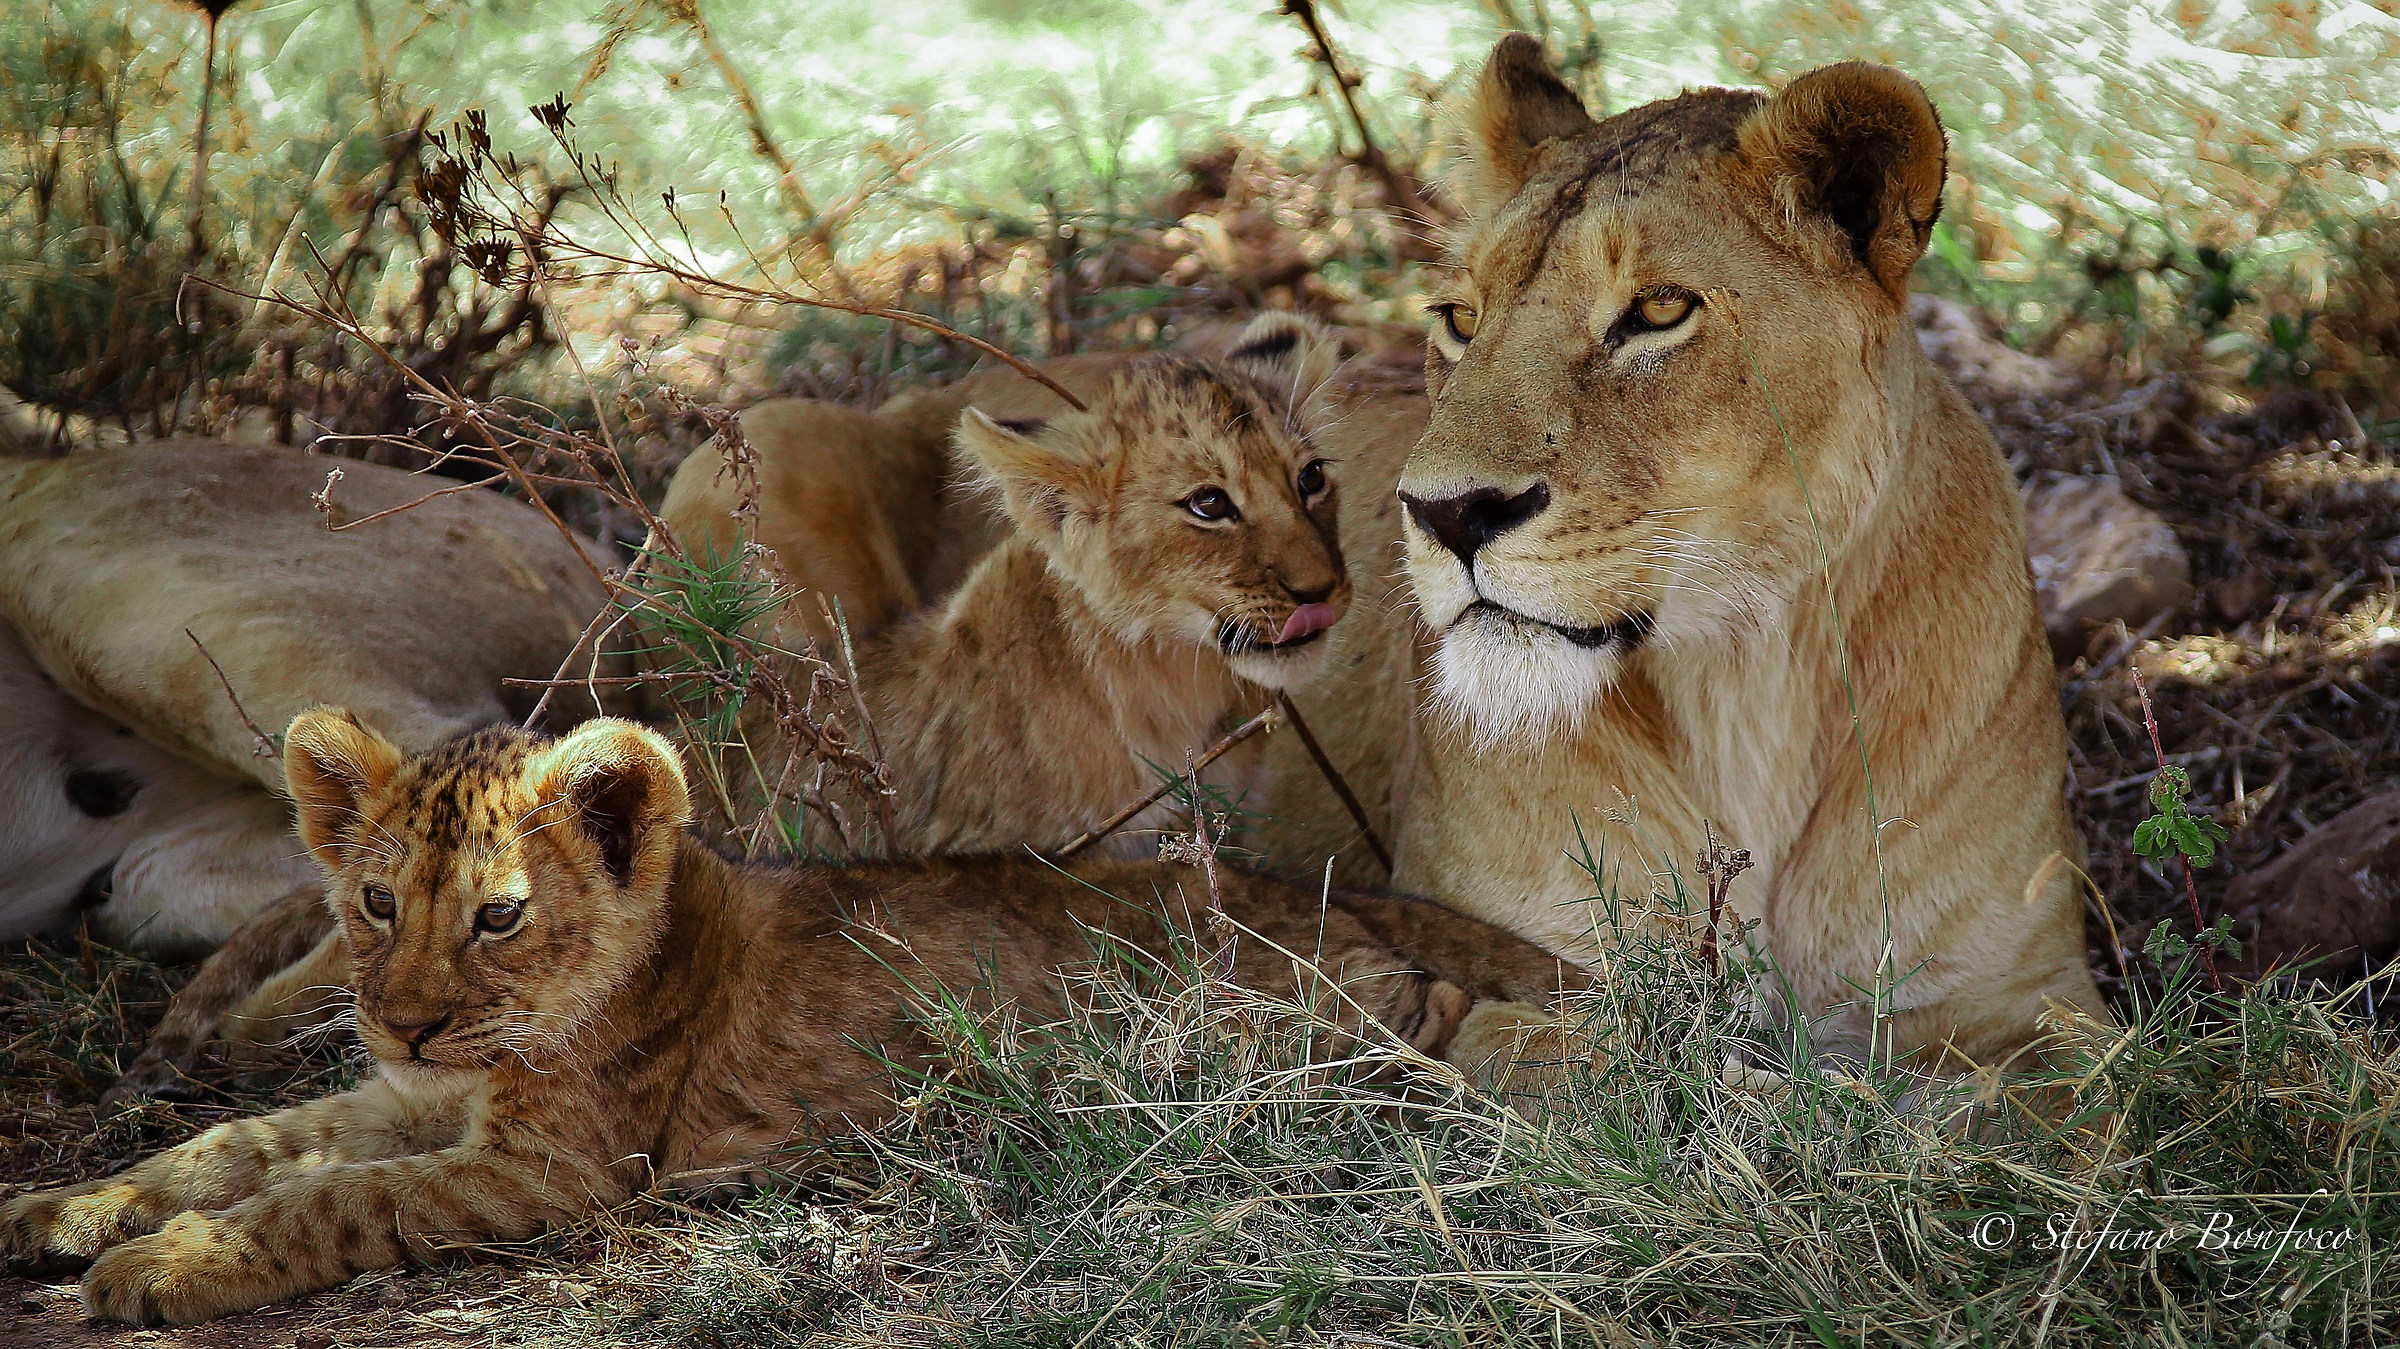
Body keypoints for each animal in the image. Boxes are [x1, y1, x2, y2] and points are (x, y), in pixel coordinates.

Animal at [2, 709, 1577, 1324]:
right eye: (379, 902)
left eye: (499, 914)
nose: (401, 1019)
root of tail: (1309, 890)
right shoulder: (395, 1100)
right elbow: (236, 1151)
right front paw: (65, 1207)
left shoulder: (554, 1171)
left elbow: (324, 1204)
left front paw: (161, 1265)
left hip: (1262, 1017)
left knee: (1431, 1014)